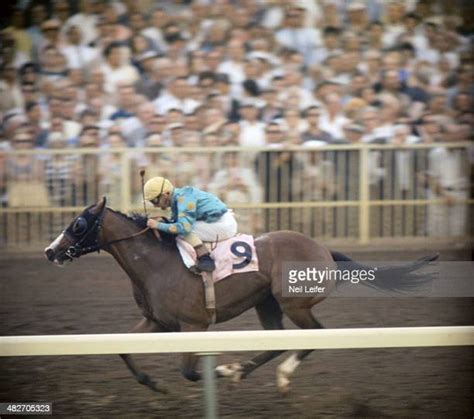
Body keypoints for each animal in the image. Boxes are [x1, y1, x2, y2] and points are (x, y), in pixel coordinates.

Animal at [44, 199, 436, 396]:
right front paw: (153, 383)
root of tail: (324, 249)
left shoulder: (193, 326)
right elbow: (124, 349)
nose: (50, 251)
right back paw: (246, 371)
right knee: (278, 341)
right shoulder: (157, 321)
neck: (155, 263)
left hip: (294, 303)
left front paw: (220, 368)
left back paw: (274, 375)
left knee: (312, 336)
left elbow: (190, 371)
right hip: (267, 303)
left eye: (78, 225)